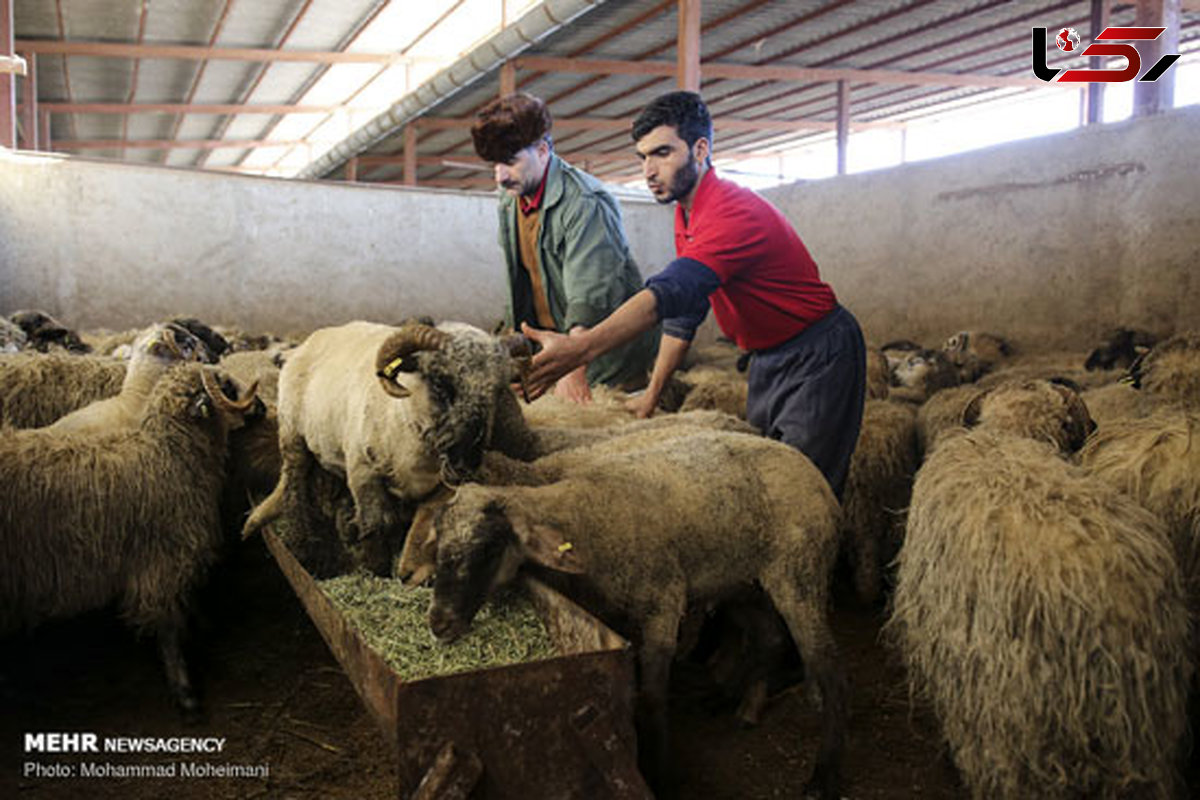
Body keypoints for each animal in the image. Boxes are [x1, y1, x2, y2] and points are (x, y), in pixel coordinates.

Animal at [0, 367, 261, 714]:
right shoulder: (160, 560)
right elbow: (168, 625)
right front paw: (184, 690)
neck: (168, 455)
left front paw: (201, 624)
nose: (263, 407)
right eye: (227, 385)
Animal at [241, 319, 532, 568]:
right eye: (440, 382)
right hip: (293, 437)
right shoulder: (364, 474)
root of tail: (308, 342)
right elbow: (376, 524)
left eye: (497, 390)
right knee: (294, 487)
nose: (467, 460)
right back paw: (303, 548)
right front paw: (376, 569)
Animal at [427, 431, 849, 800]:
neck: (589, 514)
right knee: (769, 638)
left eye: (486, 549)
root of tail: (814, 473)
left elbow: (651, 698)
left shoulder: (662, 601)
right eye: (438, 544)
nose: (438, 623)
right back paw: (729, 701)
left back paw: (824, 775)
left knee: (827, 666)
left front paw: (659, 776)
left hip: (799, 573)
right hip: (744, 581)